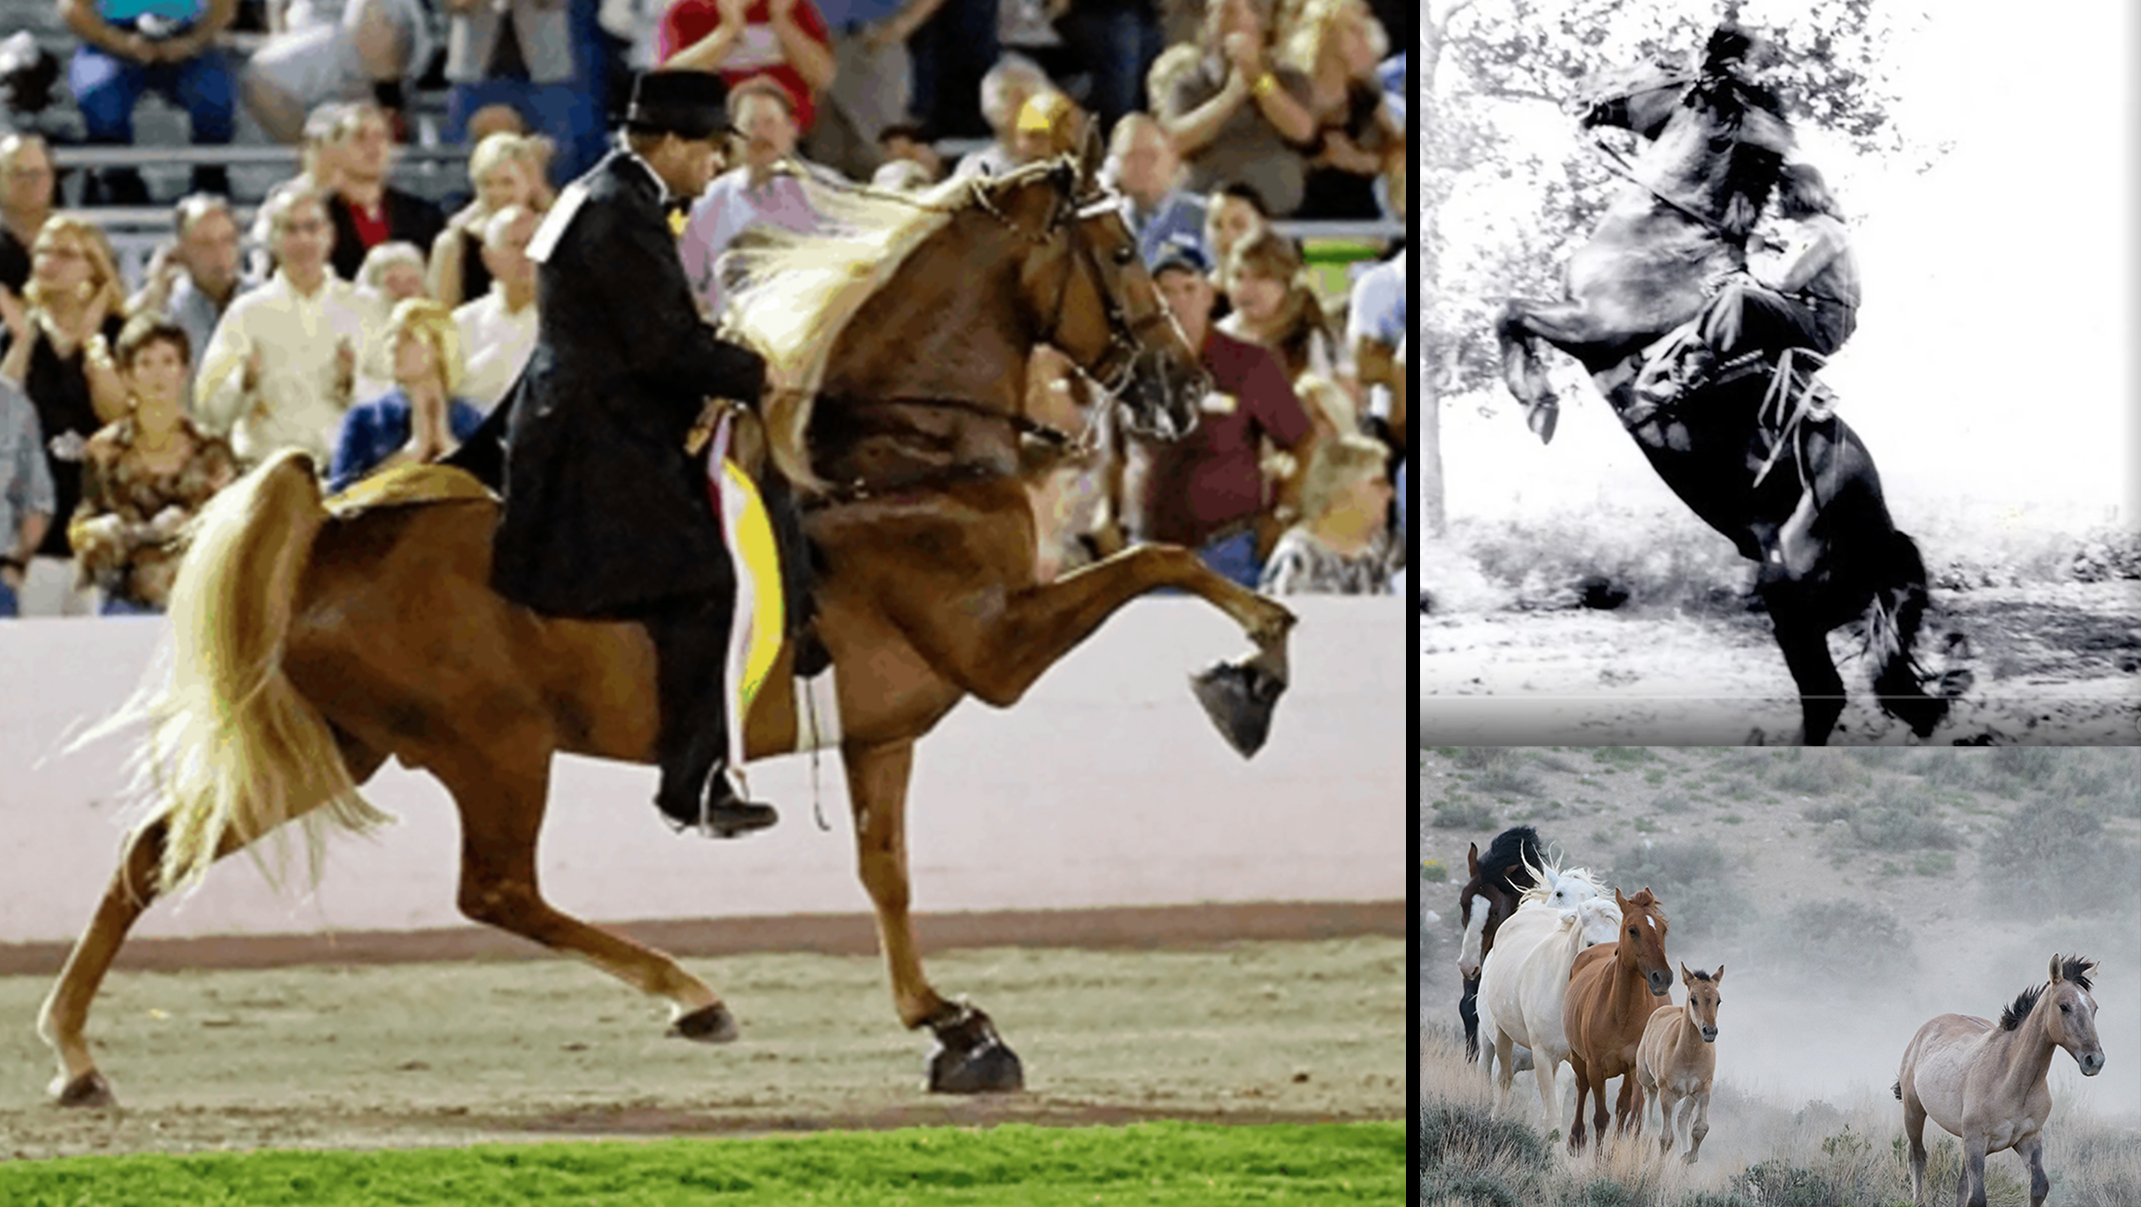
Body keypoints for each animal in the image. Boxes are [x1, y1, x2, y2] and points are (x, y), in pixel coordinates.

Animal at [36, 154, 1303, 1109]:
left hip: (347, 744)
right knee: (496, 892)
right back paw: (696, 995)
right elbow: (1162, 561)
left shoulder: (884, 728)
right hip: (493, 747)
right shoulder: (997, 648)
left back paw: (75, 1056)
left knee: (152, 852)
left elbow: (884, 874)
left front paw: (950, 1026)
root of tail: (334, 525)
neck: (895, 457)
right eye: (1124, 253)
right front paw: (1253, 669)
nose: (1179, 389)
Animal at [1492, 26, 1950, 746]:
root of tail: (1884, 544)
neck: (1668, 230)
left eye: (1657, 62)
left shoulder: (1593, 328)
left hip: (1789, 599)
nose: (1584, 90)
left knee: (1823, 693)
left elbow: (1509, 312)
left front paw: (1537, 403)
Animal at [1563, 886, 1672, 1152]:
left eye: (1663, 928)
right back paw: (1576, 1138)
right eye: (1633, 929)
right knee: (1582, 1087)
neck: (1620, 1013)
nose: (1662, 977)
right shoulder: (1595, 1067)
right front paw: (1599, 1157)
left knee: (1623, 1107)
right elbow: (1601, 1117)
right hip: (1577, 1057)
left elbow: (1632, 1116)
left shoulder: (1635, 1067)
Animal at [1636, 963, 1724, 1163]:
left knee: (1682, 1118)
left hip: (1689, 1094)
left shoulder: (1703, 1090)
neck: (1689, 1055)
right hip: (1649, 1084)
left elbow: (1699, 1129)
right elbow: (1665, 1138)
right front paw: (1657, 1169)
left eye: (1718, 1001)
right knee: (1647, 1123)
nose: (1709, 1031)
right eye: (1693, 999)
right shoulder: (1667, 1093)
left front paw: (1689, 1158)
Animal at [1895, 955, 2104, 1207]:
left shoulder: (2028, 1139)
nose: (2094, 1060)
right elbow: (1977, 1198)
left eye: (2094, 1008)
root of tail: (1924, 1030)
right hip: (1914, 1112)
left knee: (1960, 1184)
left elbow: (2039, 1188)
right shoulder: (1977, 1142)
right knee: (1917, 1158)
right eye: (2064, 1006)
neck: (2010, 1082)